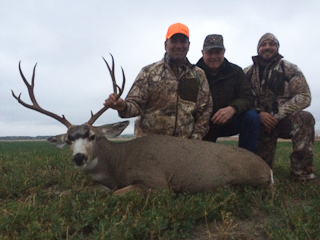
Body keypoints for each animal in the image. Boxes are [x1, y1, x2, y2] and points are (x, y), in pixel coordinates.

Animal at [11, 55, 272, 196]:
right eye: (68, 139)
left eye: (93, 135)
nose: (78, 158)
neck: (119, 163)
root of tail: (267, 170)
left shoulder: (157, 182)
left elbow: (114, 194)